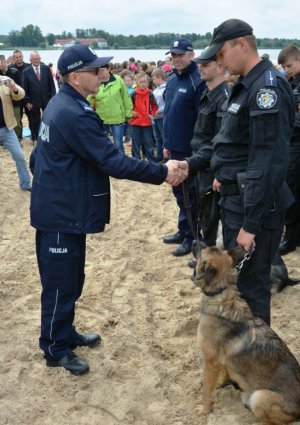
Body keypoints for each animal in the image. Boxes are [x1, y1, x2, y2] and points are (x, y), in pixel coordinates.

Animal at [192, 242, 300, 424]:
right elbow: (223, 373)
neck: (222, 293)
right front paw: (221, 383)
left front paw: (204, 410)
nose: (194, 242)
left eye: (202, 251)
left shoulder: (210, 362)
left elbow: (207, 391)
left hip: (260, 397)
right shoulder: (219, 363)